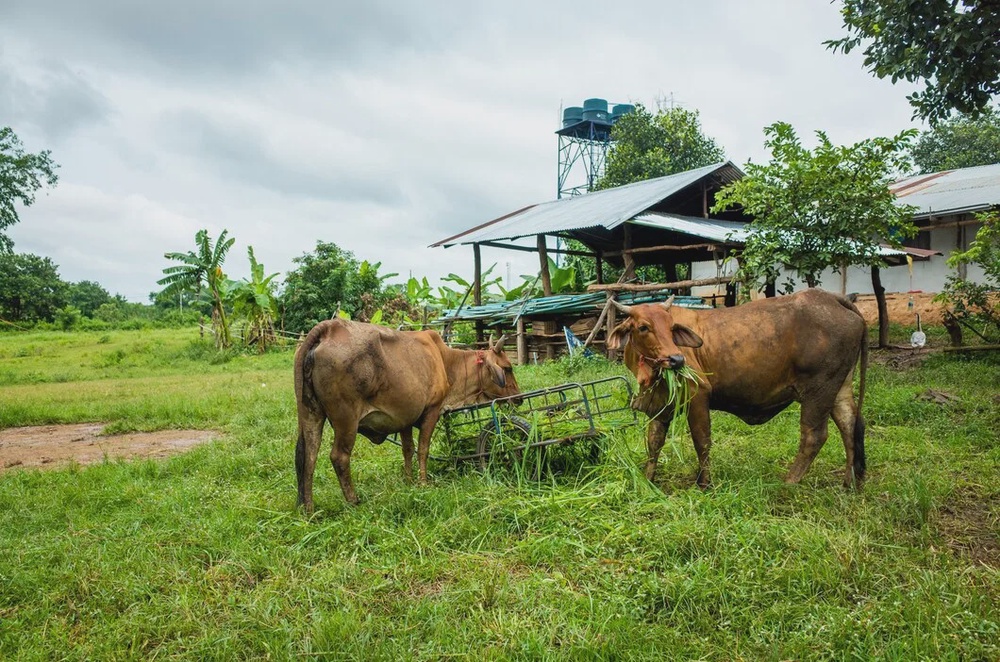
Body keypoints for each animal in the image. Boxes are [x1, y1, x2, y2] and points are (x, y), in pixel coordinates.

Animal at [294, 318, 521, 511]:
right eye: (508, 368)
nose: (518, 398)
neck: (446, 361)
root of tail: (328, 328)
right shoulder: (432, 410)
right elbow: (423, 449)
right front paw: (423, 482)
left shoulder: (404, 419)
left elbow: (408, 450)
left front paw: (409, 481)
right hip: (346, 419)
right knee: (339, 457)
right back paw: (353, 501)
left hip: (310, 413)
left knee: (308, 456)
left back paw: (308, 508)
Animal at [606, 288, 868, 489]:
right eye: (643, 327)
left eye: (671, 328)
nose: (677, 360)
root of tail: (833, 298)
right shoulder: (661, 406)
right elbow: (654, 443)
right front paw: (648, 480)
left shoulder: (698, 395)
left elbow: (702, 441)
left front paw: (704, 484)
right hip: (838, 387)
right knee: (850, 424)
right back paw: (849, 483)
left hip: (818, 390)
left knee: (814, 436)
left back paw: (789, 482)